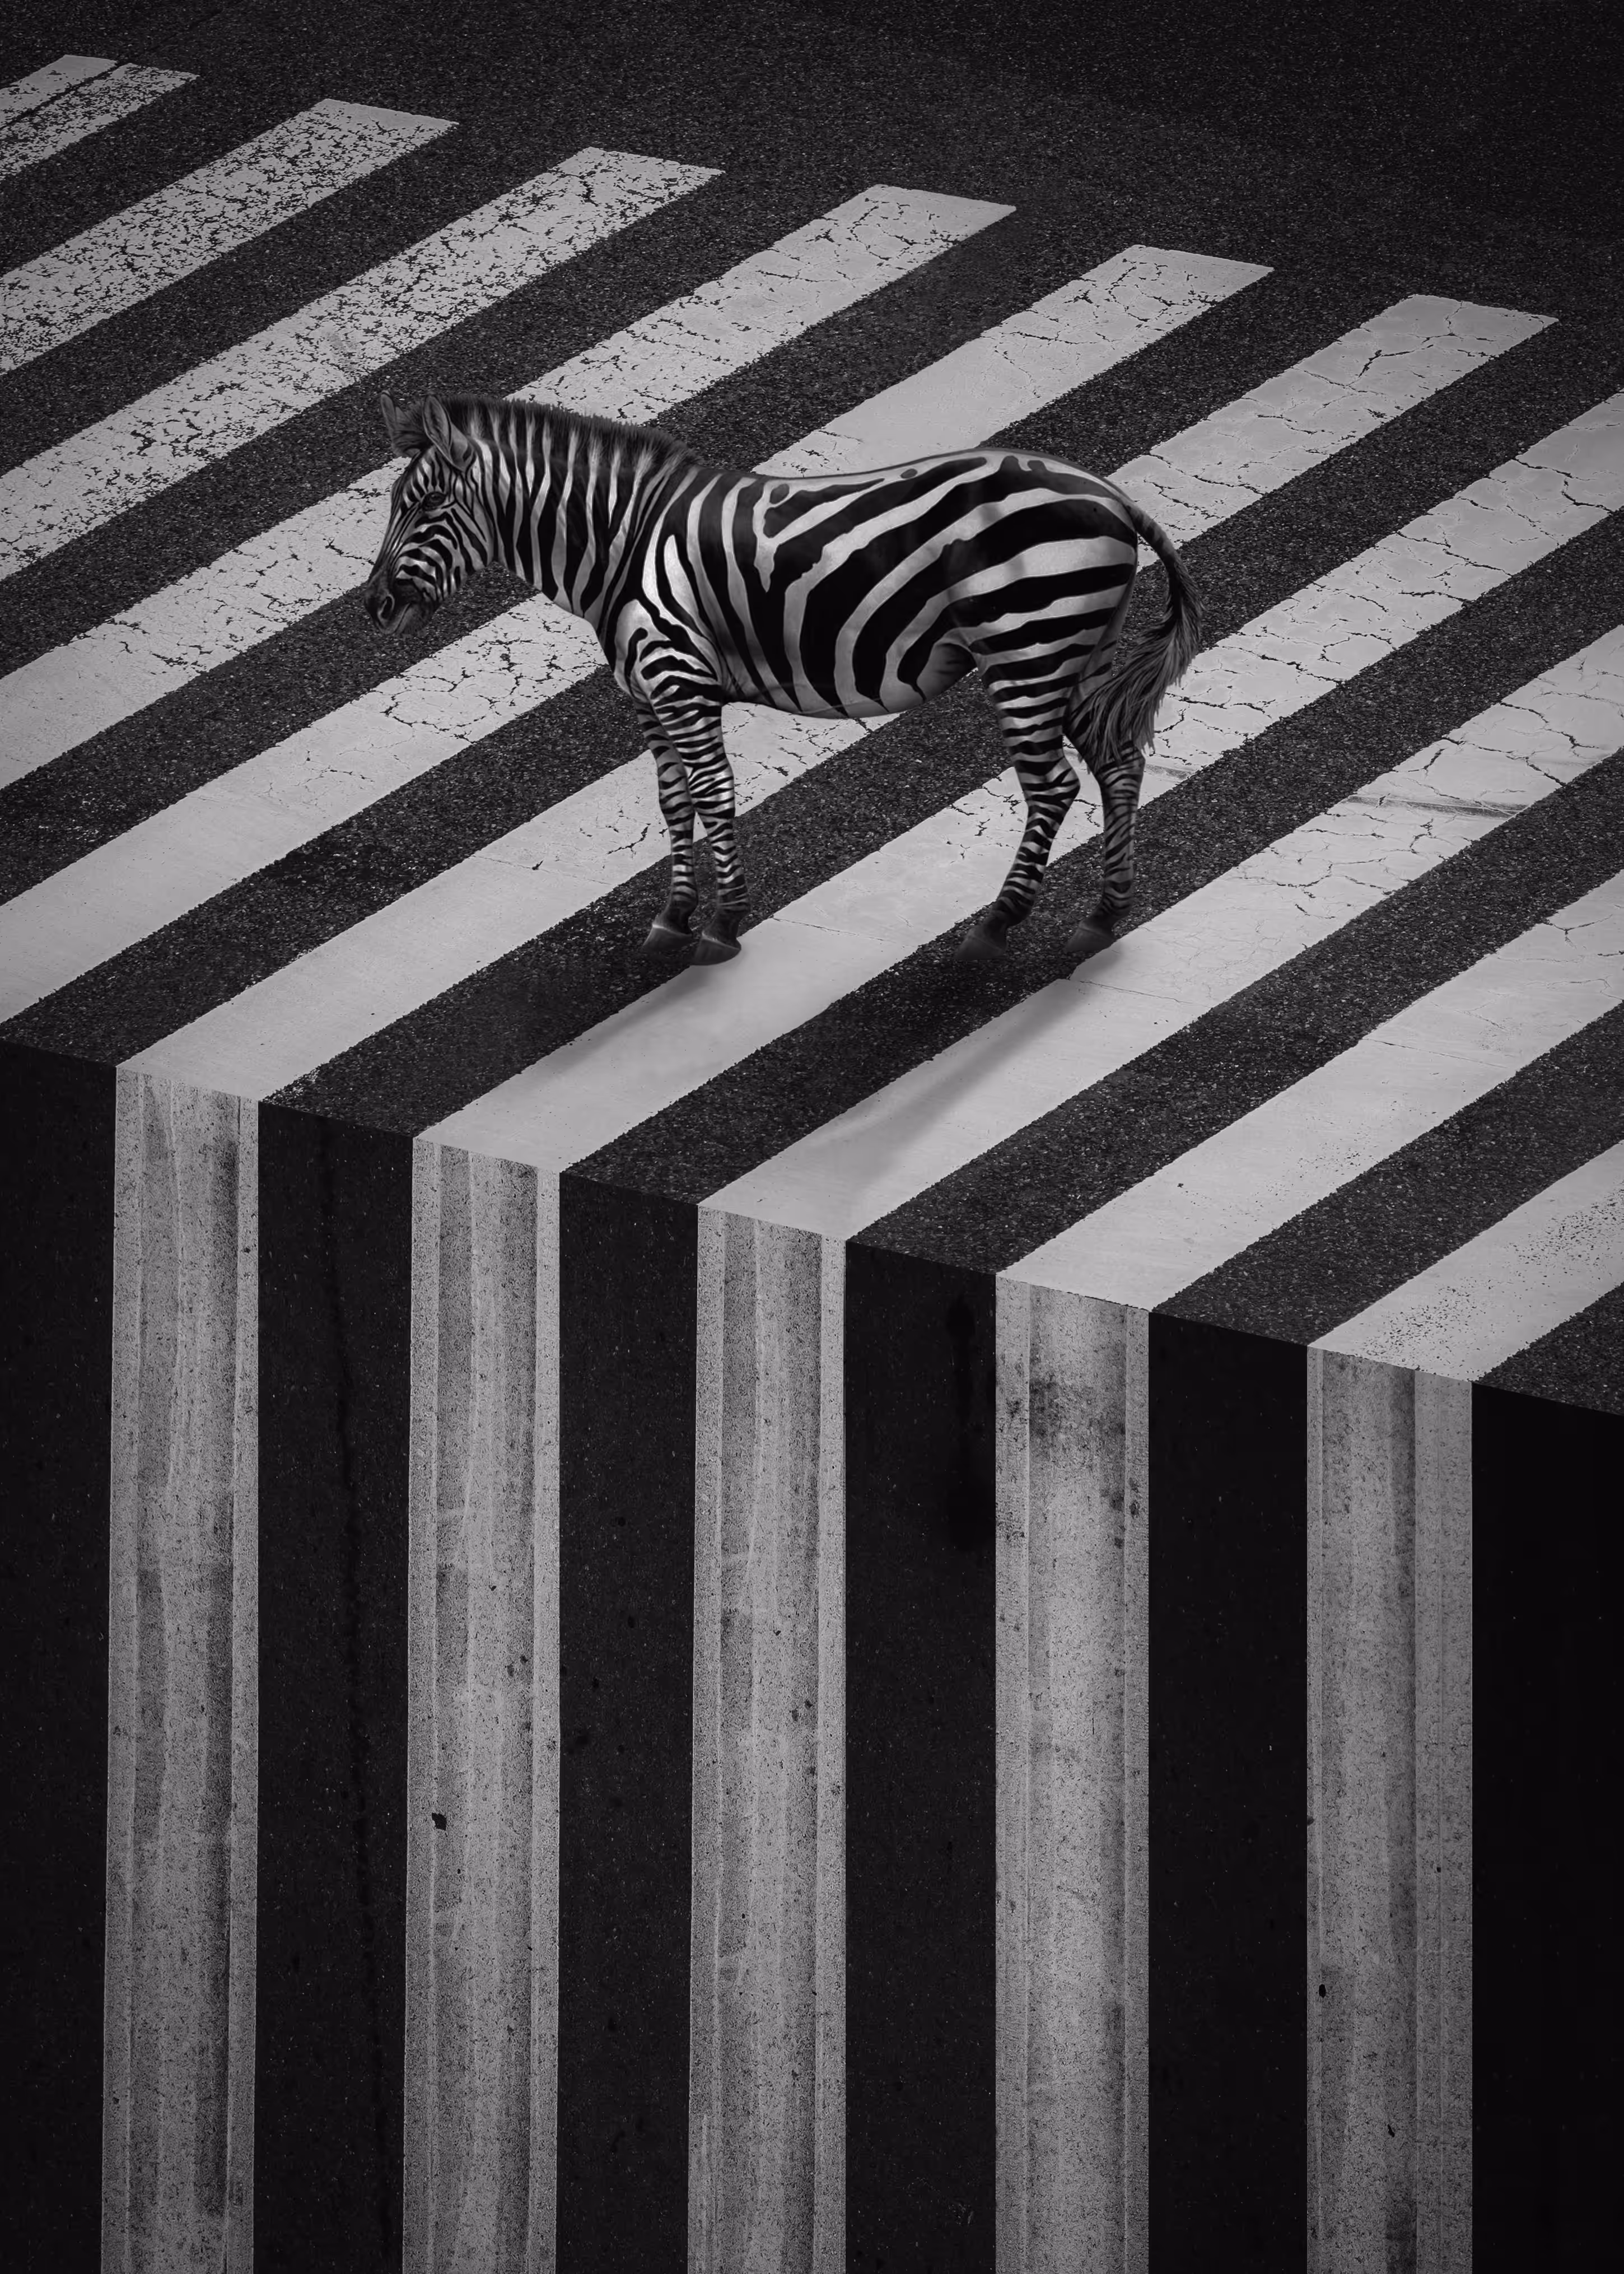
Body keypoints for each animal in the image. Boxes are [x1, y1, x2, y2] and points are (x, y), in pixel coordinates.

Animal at [364, 391, 1200, 965]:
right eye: (397, 506)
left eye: (426, 506)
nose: (374, 609)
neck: (622, 545)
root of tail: (1111, 495)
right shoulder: (646, 693)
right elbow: (672, 800)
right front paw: (674, 916)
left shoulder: (677, 677)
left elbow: (711, 791)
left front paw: (724, 922)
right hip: (1075, 653)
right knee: (1118, 765)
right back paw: (1104, 915)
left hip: (1025, 647)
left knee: (1053, 785)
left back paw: (998, 923)